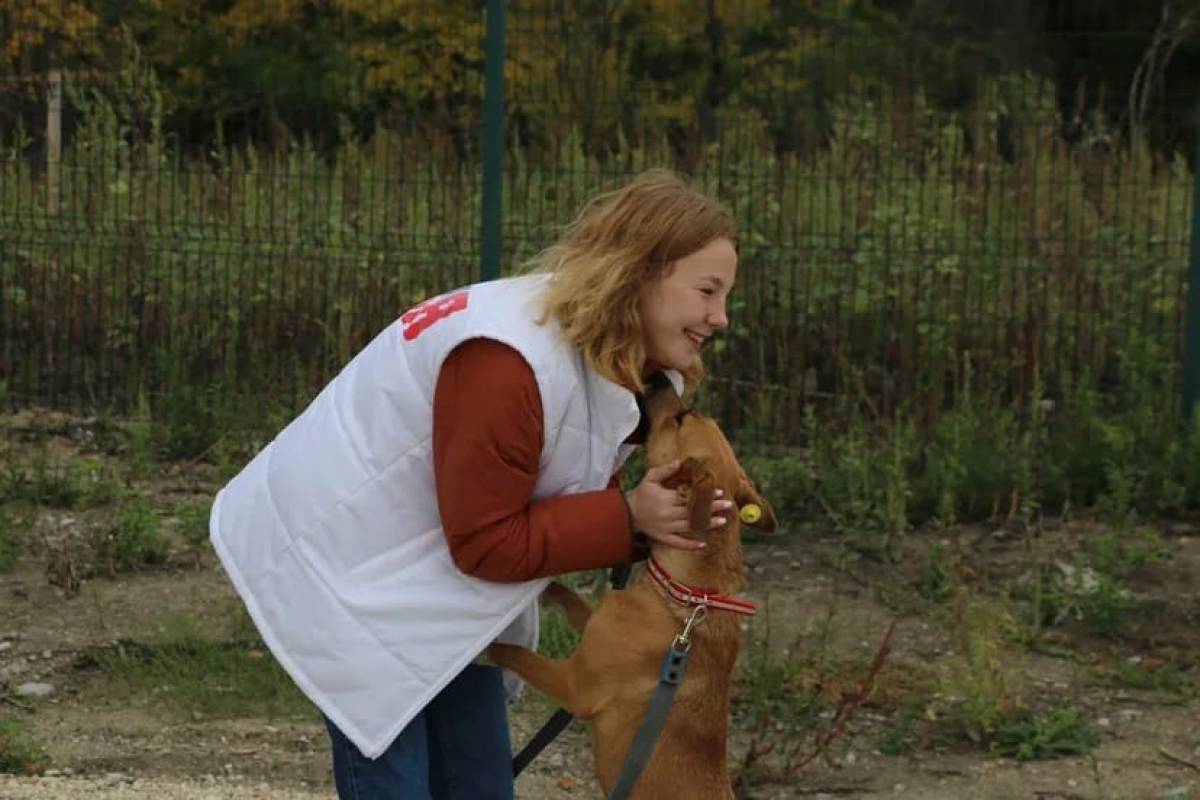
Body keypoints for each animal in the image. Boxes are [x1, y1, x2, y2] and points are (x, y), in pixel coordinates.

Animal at [487, 379, 777, 796]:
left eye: (680, 417)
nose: (658, 379)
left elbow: (517, 655)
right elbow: (575, 602)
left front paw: (488, 652)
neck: (684, 595)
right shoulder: (598, 623)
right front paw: (551, 589)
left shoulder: (573, 686)